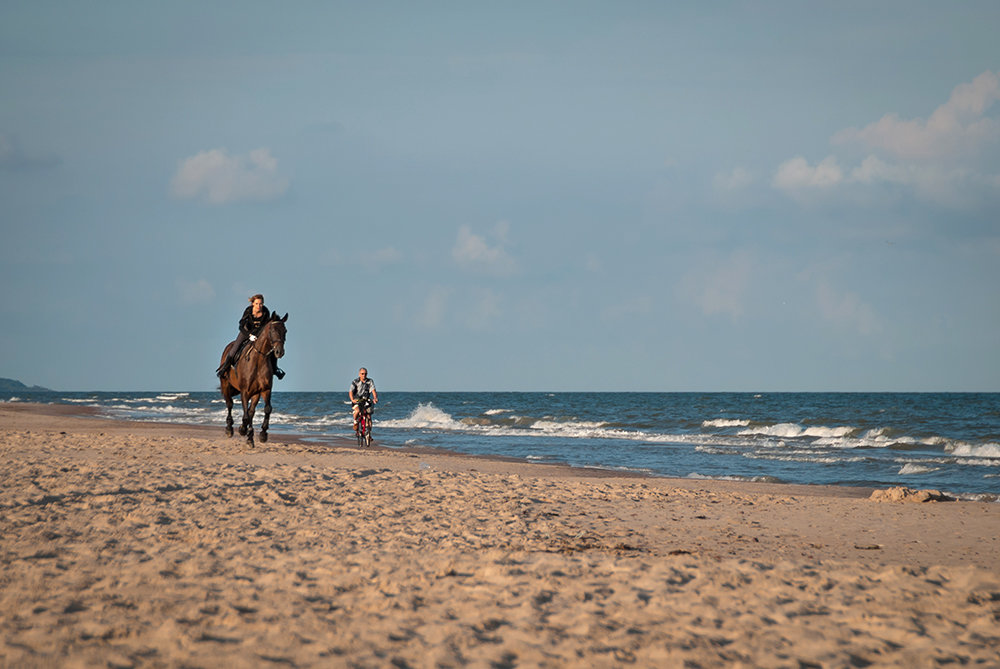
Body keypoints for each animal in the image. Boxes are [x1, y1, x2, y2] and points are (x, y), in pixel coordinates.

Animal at [216, 310, 286, 446]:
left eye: (285, 330)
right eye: (273, 330)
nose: (279, 352)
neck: (258, 360)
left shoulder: (264, 390)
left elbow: (265, 409)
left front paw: (262, 434)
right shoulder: (245, 392)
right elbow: (246, 415)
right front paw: (245, 432)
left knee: (250, 411)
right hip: (225, 385)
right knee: (230, 404)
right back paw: (229, 428)